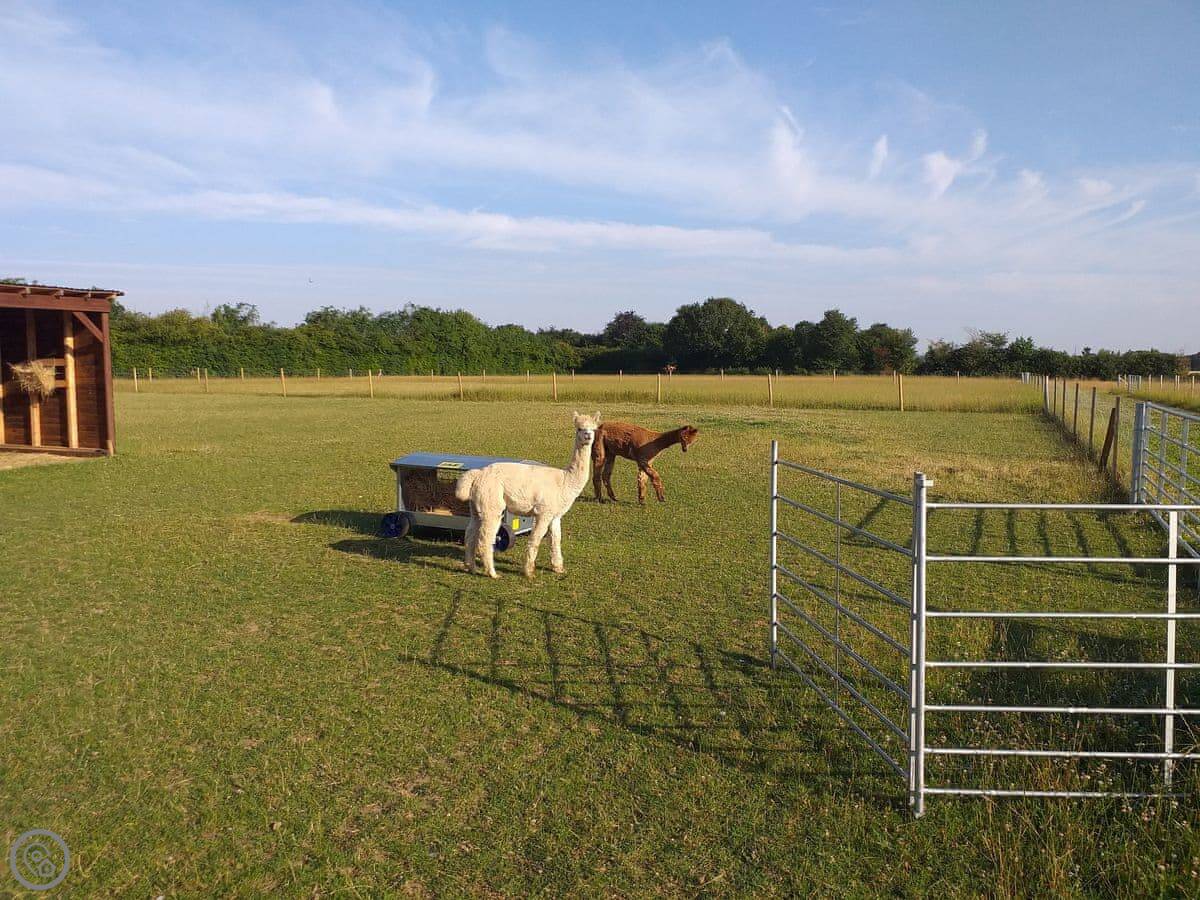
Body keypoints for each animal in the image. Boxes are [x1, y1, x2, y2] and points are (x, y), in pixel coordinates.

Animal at [455, 411, 601, 579]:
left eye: (594, 429)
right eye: (579, 428)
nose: (588, 436)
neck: (564, 481)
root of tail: (478, 474)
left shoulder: (555, 515)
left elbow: (556, 540)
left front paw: (558, 568)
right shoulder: (544, 512)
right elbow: (536, 539)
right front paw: (529, 572)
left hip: (476, 506)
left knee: (470, 533)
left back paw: (471, 567)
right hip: (491, 503)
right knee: (485, 538)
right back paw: (492, 573)